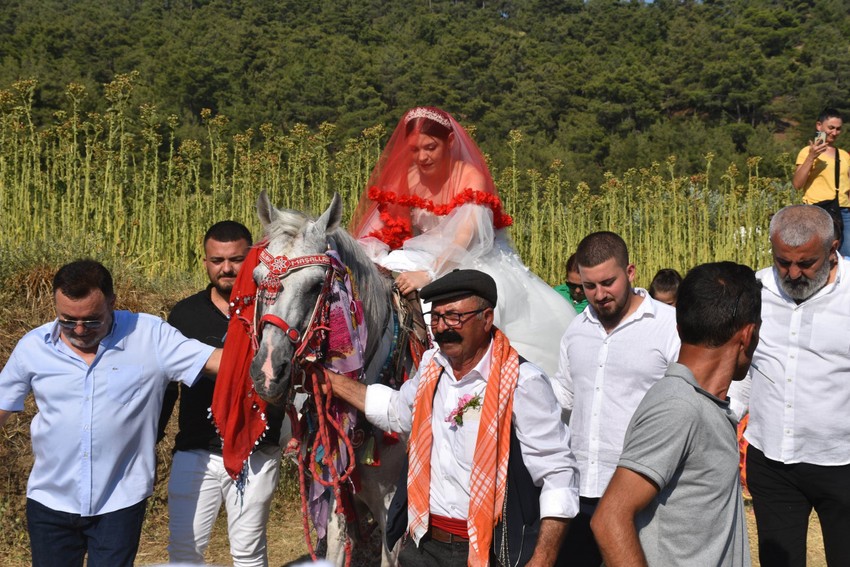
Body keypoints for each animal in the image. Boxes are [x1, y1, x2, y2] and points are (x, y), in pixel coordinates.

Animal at [247, 192, 416, 567]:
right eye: (257, 278)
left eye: (315, 285)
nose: (267, 372)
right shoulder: (339, 492)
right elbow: (338, 545)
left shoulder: (394, 507)